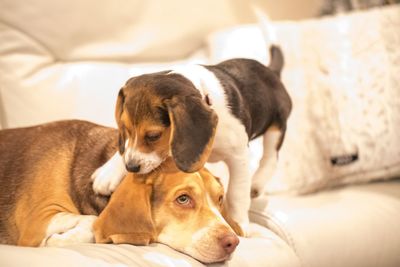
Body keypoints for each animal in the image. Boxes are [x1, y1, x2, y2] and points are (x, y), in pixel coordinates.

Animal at [0, 121, 241, 264]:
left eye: (220, 199)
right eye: (183, 199)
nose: (233, 242)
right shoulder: (38, 220)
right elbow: (93, 222)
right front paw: (58, 241)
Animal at [92, 46, 292, 234]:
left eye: (153, 136)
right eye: (125, 130)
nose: (131, 167)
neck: (205, 96)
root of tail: (271, 70)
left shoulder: (239, 157)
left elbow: (237, 192)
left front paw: (238, 223)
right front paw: (108, 172)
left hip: (276, 124)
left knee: (271, 157)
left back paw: (257, 183)